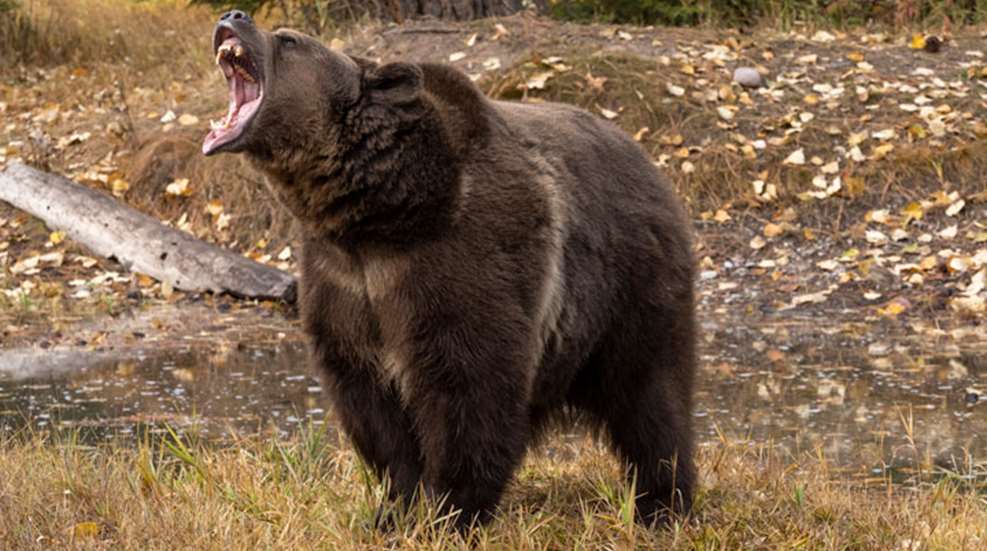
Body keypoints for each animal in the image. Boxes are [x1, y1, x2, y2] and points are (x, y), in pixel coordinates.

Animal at [203, 10, 696, 527]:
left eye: (290, 40)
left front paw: (452, 509)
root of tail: (648, 160)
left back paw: (663, 502)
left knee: (650, 397)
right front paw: (396, 507)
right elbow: (370, 402)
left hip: (630, 286)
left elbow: (468, 385)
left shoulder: (458, 259)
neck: (379, 216)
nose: (234, 15)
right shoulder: (344, 282)